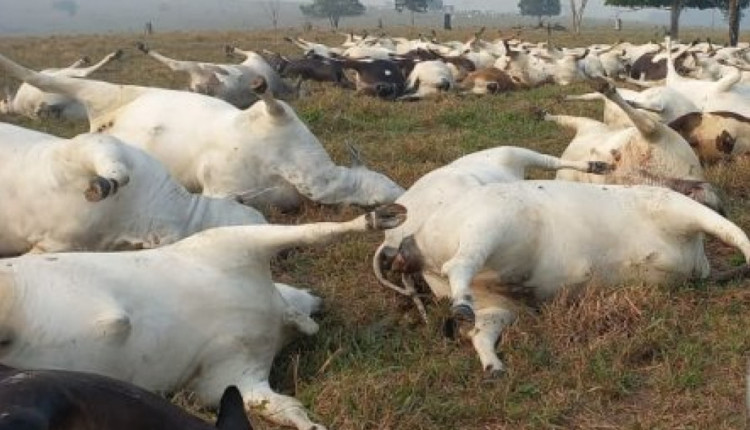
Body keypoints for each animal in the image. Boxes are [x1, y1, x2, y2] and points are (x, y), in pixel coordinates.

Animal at [0, 203, 406, 428]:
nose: (319, 299)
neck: (276, 315)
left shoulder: (234, 377)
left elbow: (285, 408)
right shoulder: (235, 240)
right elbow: (314, 232)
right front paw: (379, 217)